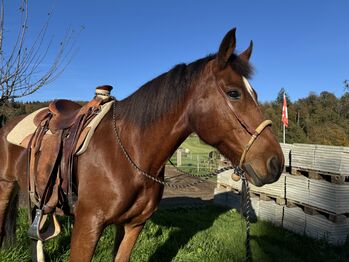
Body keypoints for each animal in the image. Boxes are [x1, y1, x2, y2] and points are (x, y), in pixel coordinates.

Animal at [0, 27, 282, 260]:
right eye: (234, 93)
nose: (276, 163)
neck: (129, 152)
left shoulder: (132, 225)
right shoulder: (87, 225)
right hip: (5, 185)